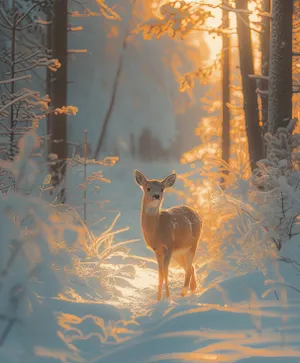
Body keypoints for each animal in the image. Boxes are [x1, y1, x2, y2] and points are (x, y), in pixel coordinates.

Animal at [135, 171, 203, 302]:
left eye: (162, 189)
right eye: (148, 188)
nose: (156, 195)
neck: (157, 230)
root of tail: (197, 214)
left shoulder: (169, 246)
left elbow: (165, 272)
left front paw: (167, 297)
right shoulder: (157, 250)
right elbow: (160, 273)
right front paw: (158, 299)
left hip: (193, 244)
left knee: (188, 268)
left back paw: (183, 292)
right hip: (179, 252)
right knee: (190, 267)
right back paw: (192, 289)